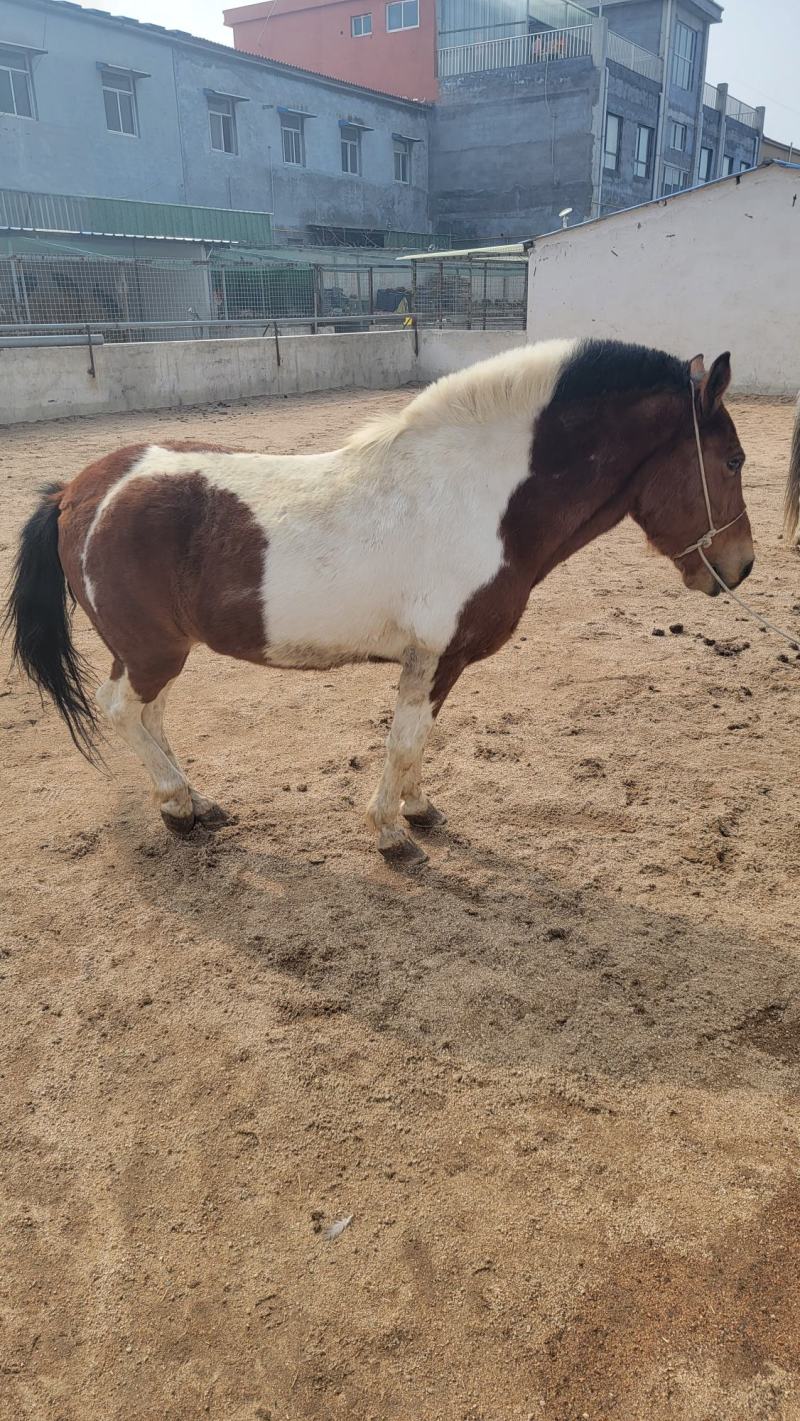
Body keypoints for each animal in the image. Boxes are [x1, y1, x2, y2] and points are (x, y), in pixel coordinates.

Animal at [5, 338, 754, 865]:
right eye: (733, 461)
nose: (741, 566)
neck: (479, 495)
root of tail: (79, 490)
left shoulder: (443, 661)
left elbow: (422, 737)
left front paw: (419, 810)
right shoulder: (433, 655)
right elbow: (404, 739)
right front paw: (393, 835)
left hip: (155, 652)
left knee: (150, 716)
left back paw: (198, 801)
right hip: (151, 650)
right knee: (124, 712)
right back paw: (177, 810)